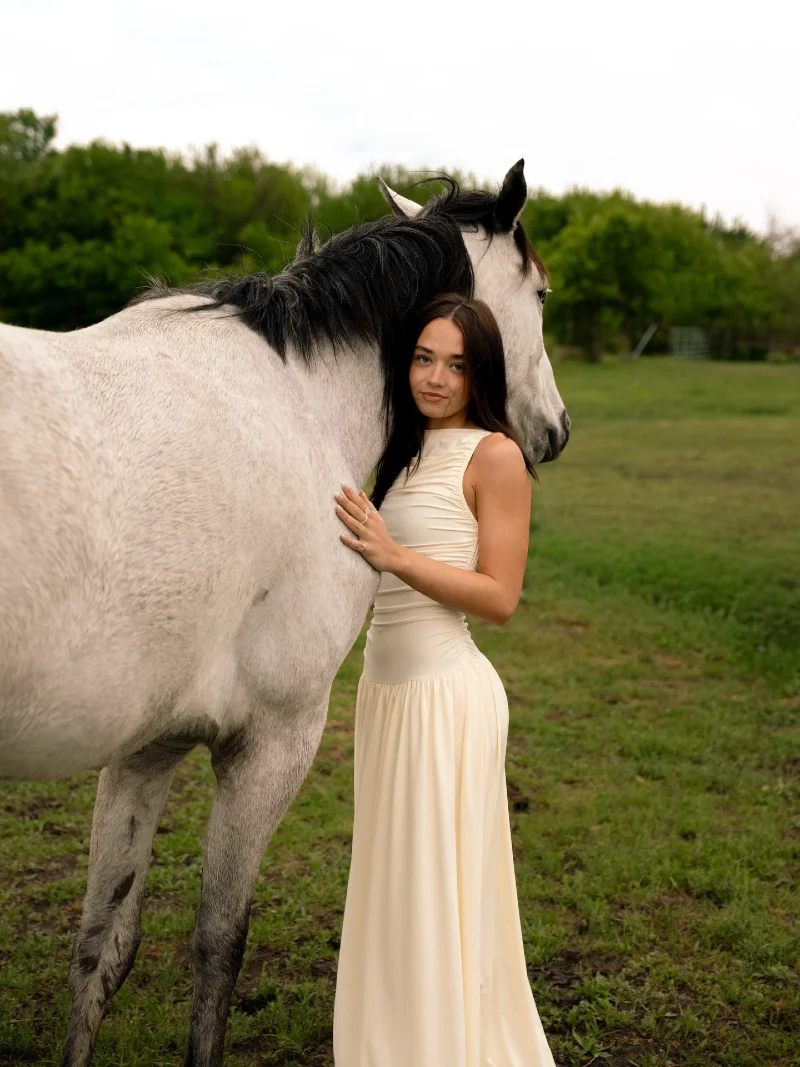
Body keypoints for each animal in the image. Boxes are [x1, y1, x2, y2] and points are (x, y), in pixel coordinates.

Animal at [0, 160, 570, 1066]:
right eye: (543, 293)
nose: (556, 429)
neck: (305, 399)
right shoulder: (274, 740)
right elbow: (218, 944)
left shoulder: (144, 746)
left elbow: (101, 947)